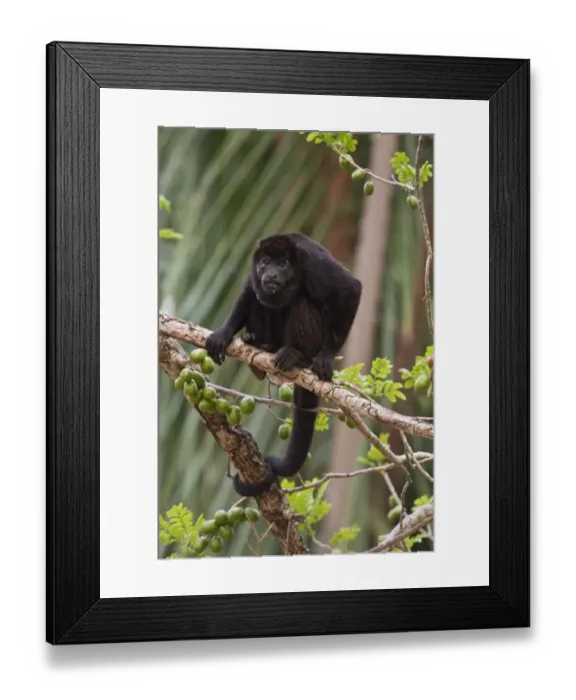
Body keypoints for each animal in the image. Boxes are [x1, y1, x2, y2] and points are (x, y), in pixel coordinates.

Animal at [206, 231, 362, 497]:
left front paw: (326, 357)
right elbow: (249, 290)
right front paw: (224, 332)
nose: (271, 275)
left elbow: (350, 289)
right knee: (260, 298)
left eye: (282, 264)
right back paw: (259, 345)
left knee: (302, 302)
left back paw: (299, 356)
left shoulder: (314, 265)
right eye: (265, 263)